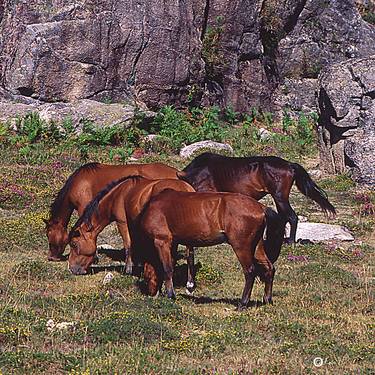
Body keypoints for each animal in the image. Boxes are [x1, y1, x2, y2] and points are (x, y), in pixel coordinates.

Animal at [140, 189, 284, 306]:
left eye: (146, 277)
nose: (151, 293)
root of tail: (261, 207)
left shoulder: (161, 241)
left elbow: (167, 268)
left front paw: (170, 295)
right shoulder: (173, 243)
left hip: (241, 247)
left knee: (250, 271)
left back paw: (243, 303)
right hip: (257, 246)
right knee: (269, 268)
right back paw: (267, 299)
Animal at [178, 153, 336, 244]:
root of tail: (289, 164)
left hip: (280, 197)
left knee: (292, 217)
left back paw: (290, 241)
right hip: (278, 198)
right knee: (283, 217)